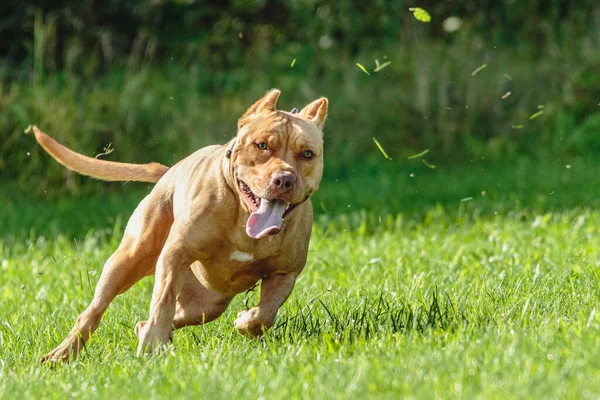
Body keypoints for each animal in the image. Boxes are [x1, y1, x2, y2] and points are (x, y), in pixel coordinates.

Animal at [34, 90, 328, 362]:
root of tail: (169, 172)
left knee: (169, 316)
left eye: (307, 154)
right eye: (262, 145)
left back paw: (147, 332)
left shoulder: (285, 273)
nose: (284, 179)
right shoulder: (176, 255)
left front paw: (247, 318)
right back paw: (62, 353)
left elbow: (265, 313)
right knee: (94, 311)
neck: (244, 216)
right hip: (128, 260)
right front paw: (151, 346)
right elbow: (162, 300)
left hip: (207, 302)